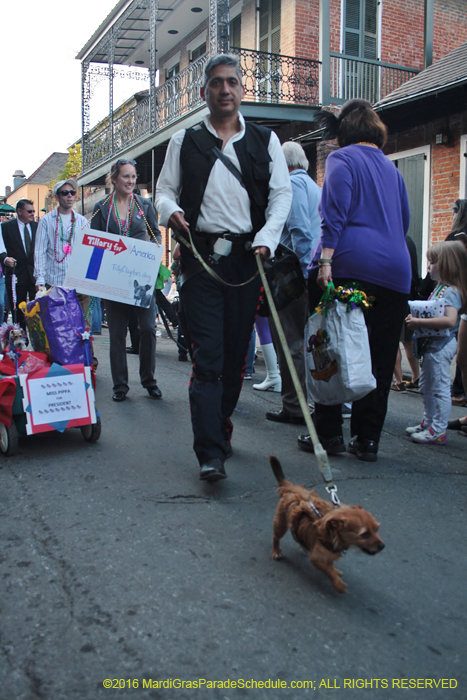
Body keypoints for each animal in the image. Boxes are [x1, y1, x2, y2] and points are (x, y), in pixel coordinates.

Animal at [270, 456, 384, 592]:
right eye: (365, 534)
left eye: (377, 529)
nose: (382, 546)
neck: (332, 533)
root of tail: (289, 487)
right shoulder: (316, 558)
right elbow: (328, 571)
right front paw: (338, 584)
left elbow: (330, 563)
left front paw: (334, 569)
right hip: (280, 524)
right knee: (276, 537)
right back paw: (276, 551)